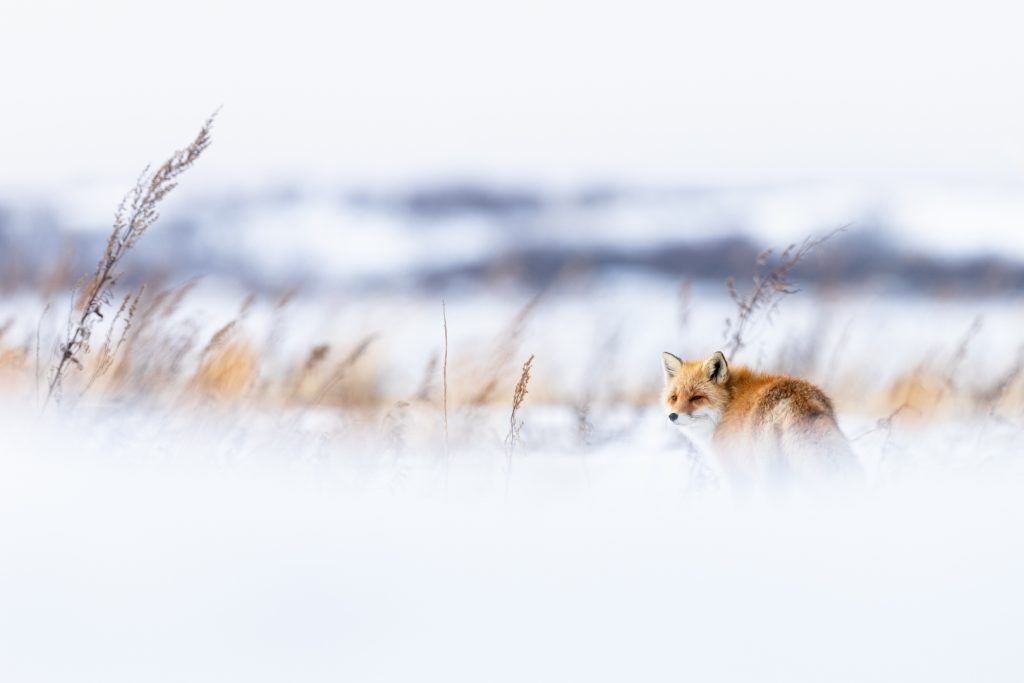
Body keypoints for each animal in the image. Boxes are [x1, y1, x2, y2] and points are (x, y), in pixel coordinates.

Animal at [661, 350, 856, 487]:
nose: (673, 416)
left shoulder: (737, 475)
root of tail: (796, 399)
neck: (727, 405)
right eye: (674, 398)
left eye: (696, 397)